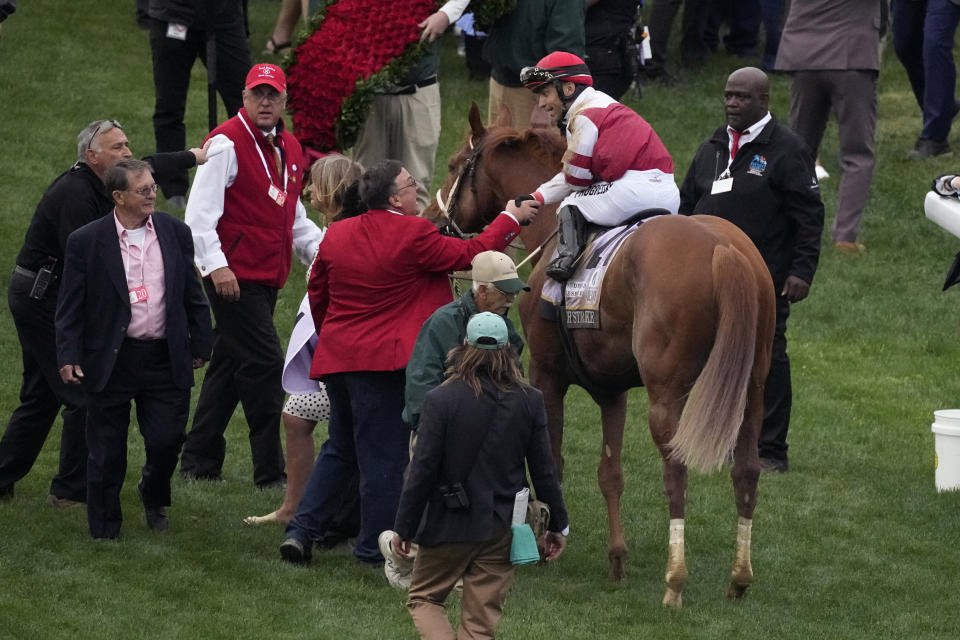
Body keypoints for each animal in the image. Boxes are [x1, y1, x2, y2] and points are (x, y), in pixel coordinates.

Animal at [428, 104, 780, 604]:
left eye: (456, 163)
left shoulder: (547, 375)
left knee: (676, 472)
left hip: (667, 395)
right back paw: (739, 578)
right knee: (746, 470)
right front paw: (616, 559)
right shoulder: (612, 390)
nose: (432, 219)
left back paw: (675, 580)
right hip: (752, 388)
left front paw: (549, 541)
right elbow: (610, 472)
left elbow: (551, 461)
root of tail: (725, 248)